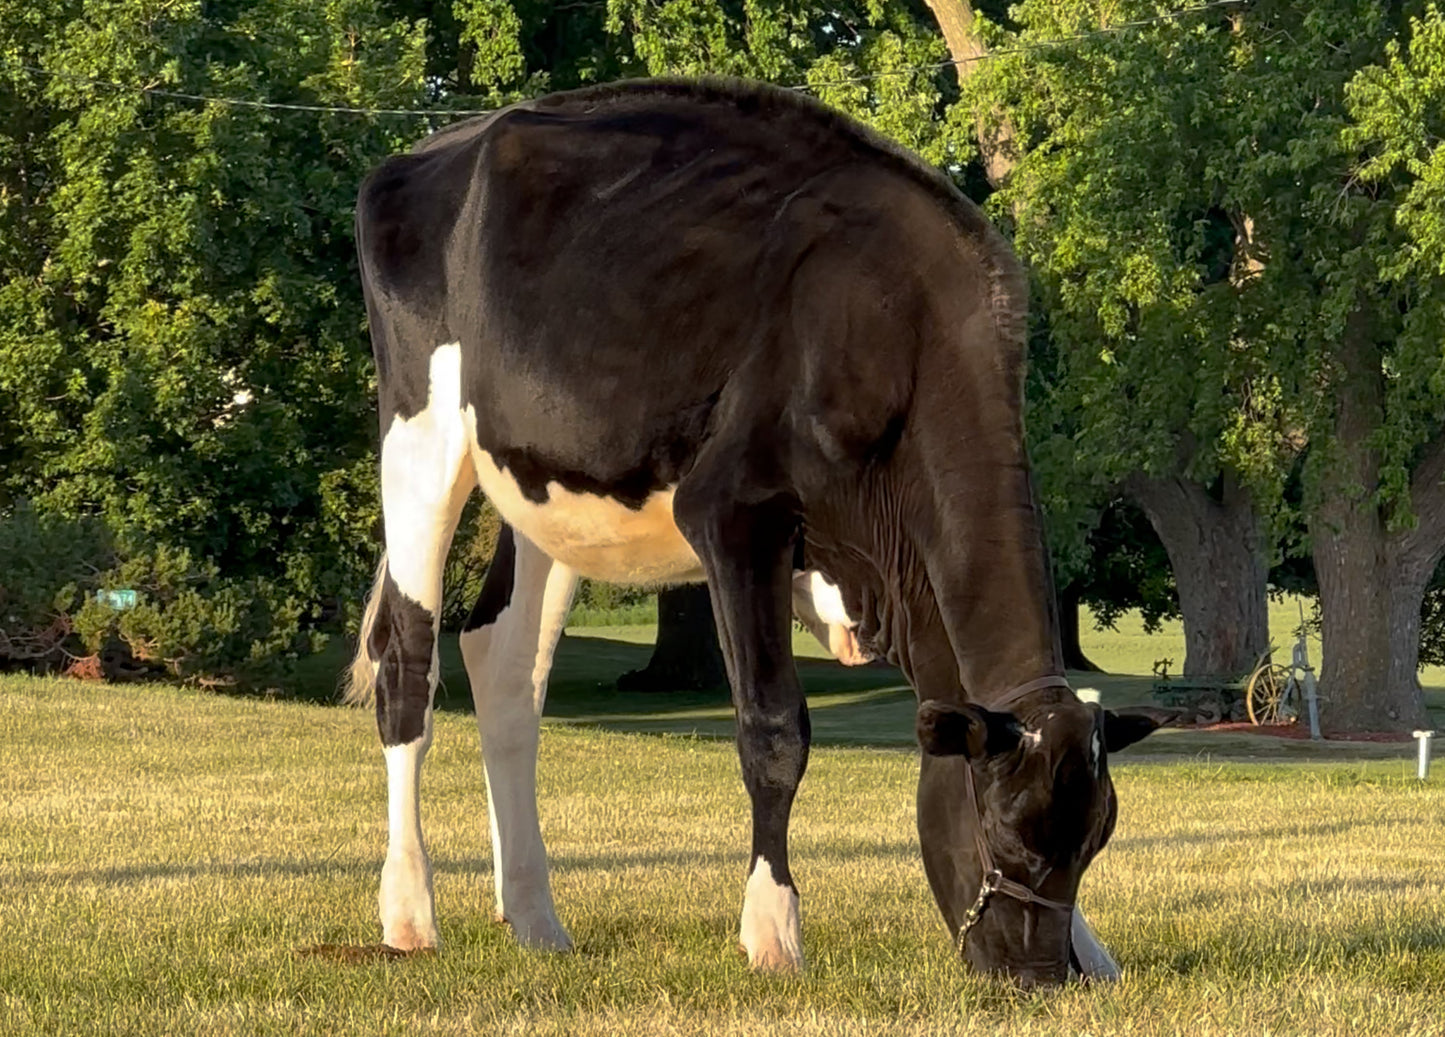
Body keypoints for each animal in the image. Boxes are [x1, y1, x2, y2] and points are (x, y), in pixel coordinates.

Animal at [345, 77, 1166, 987]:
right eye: (1003, 831)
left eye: (1091, 842)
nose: (1037, 974)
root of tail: (434, 146)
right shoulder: (734, 510)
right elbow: (773, 728)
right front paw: (772, 928)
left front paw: (1093, 948)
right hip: (420, 436)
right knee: (407, 662)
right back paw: (410, 912)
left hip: (543, 484)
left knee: (505, 667)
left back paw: (533, 915)